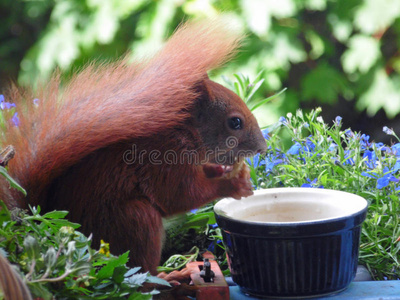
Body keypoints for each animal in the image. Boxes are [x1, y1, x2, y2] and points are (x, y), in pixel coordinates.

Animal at [1, 18, 268, 274]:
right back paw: (170, 275)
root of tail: (46, 220)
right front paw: (233, 183)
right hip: (135, 221)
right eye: (235, 122)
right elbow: (179, 195)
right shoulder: (164, 157)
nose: (262, 148)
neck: (186, 131)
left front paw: (223, 171)